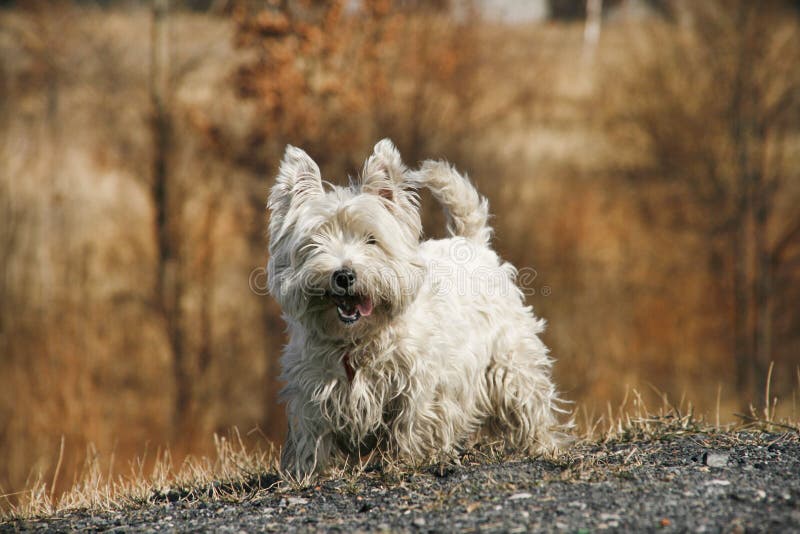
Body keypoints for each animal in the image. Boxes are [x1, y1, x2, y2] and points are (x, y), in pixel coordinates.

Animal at [268, 140, 564, 480]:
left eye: (372, 240)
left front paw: (408, 460)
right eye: (316, 242)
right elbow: (312, 434)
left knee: (528, 401)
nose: (343, 275)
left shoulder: (419, 382)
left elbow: (413, 421)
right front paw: (309, 473)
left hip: (510, 360)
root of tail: (474, 244)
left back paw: (541, 445)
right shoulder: (312, 387)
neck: (357, 340)